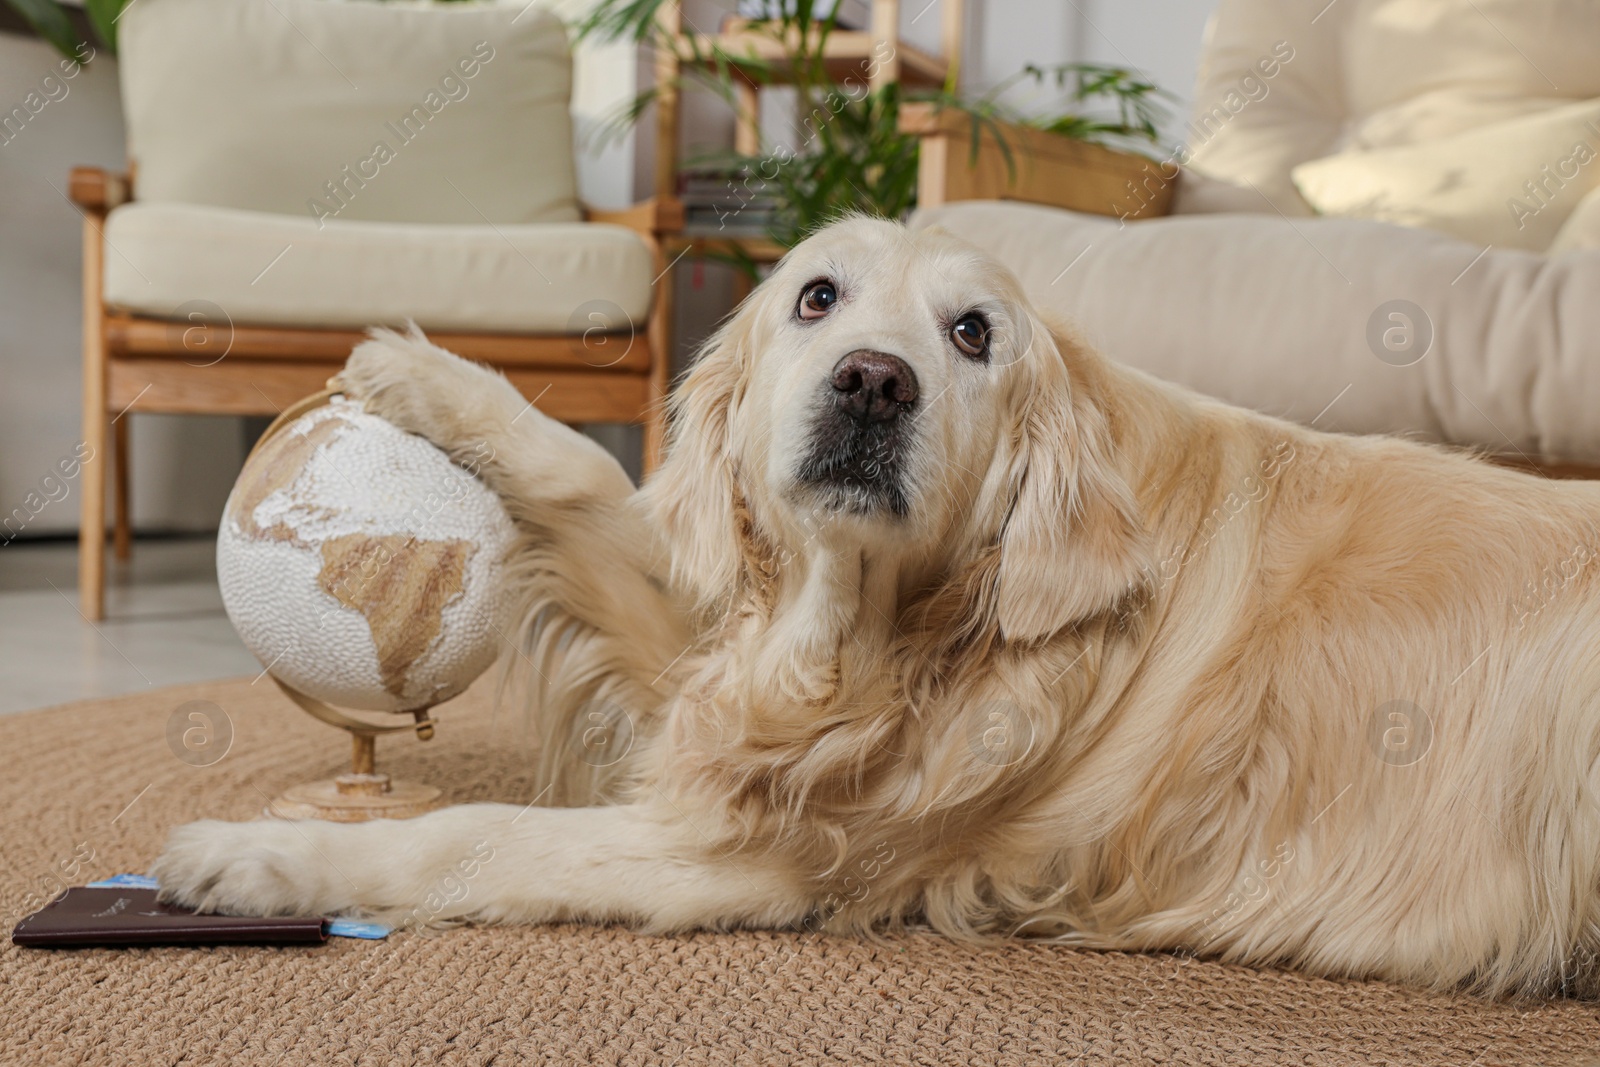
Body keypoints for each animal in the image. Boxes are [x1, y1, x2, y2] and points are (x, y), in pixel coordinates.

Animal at [156, 217, 1600, 1004]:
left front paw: (259, 855)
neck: (889, 625)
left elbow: (475, 831)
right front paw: (426, 374)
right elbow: (591, 479)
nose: (870, 382)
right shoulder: (730, 686)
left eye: (973, 333)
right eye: (816, 295)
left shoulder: (768, 853)